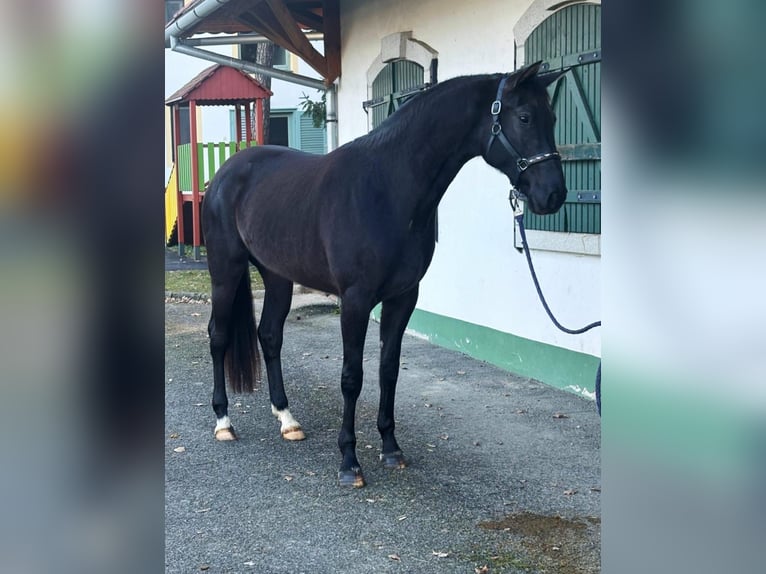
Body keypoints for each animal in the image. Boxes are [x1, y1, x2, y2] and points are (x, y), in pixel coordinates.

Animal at [201, 62, 568, 486]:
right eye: (524, 117)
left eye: (552, 117)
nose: (554, 194)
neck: (387, 189)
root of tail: (225, 173)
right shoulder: (355, 301)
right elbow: (352, 376)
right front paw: (349, 460)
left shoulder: (402, 297)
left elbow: (388, 370)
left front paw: (391, 448)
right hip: (225, 271)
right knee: (218, 336)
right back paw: (223, 422)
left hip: (278, 276)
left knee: (270, 335)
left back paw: (287, 420)